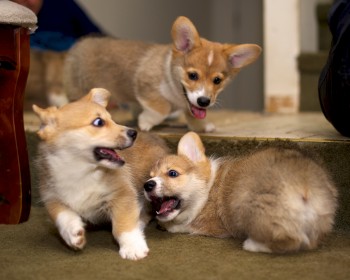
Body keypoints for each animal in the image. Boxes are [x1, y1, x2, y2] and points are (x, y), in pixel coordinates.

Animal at [32, 87, 170, 260]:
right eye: (99, 122)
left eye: (112, 119)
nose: (133, 133)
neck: (81, 172)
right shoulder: (51, 198)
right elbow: (63, 215)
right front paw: (73, 233)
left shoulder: (123, 195)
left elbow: (123, 225)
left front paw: (133, 247)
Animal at [63, 16, 262, 132]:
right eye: (192, 76)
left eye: (217, 80)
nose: (204, 101)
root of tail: (81, 43)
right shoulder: (146, 87)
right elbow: (162, 108)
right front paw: (146, 121)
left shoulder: (190, 105)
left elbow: (192, 114)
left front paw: (201, 126)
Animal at [144, 132, 338, 253]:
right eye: (150, 176)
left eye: (172, 173)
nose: (147, 185)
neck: (207, 190)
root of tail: (305, 183)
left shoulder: (212, 226)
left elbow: (186, 226)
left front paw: (171, 226)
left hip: (248, 208)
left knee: (290, 241)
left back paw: (252, 245)